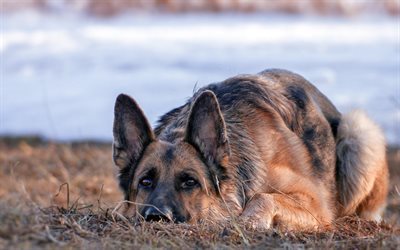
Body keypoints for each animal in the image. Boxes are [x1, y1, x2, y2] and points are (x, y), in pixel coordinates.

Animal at [111, 68, 388, 230]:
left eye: (190, 182)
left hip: (357, 132)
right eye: (145, 182)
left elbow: (263, 196)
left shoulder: (316, 204)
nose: (157, 218)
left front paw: (248, 221)